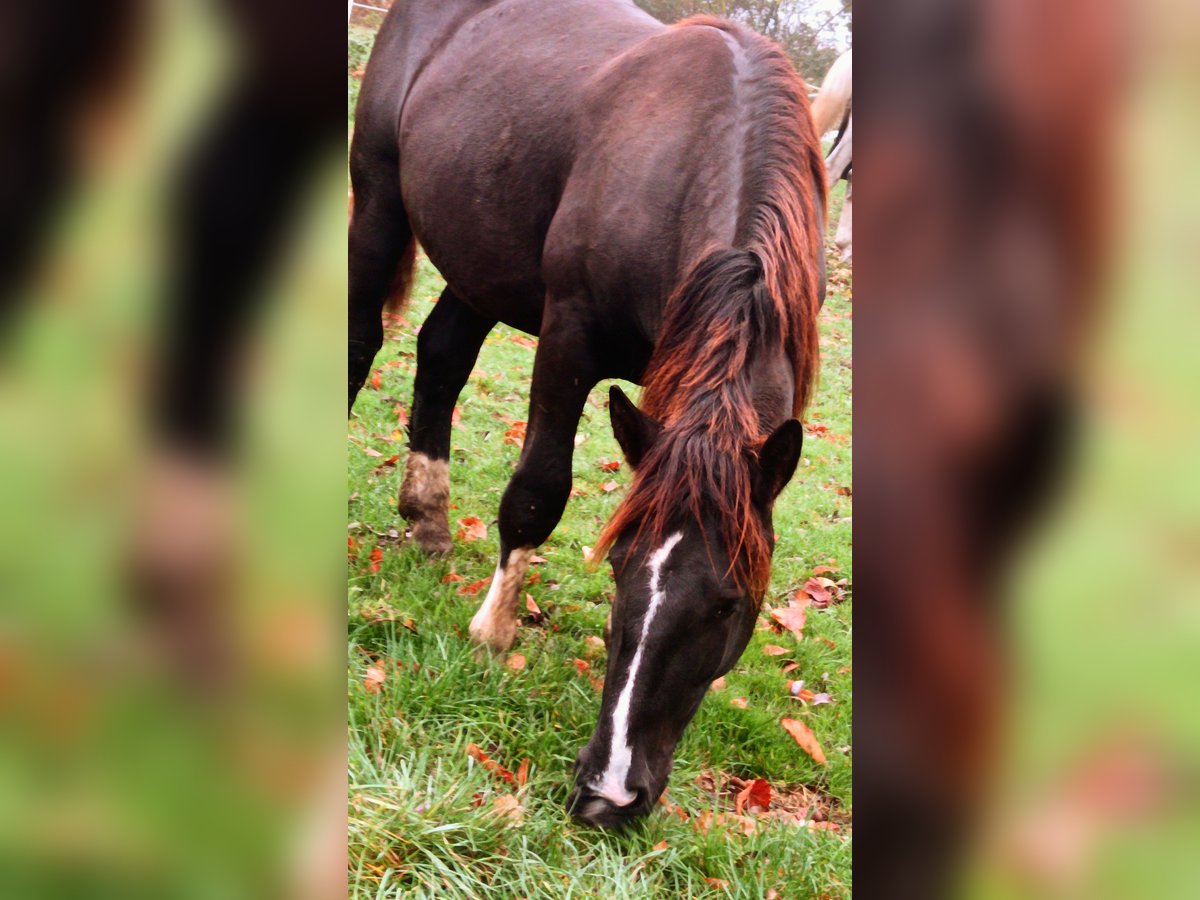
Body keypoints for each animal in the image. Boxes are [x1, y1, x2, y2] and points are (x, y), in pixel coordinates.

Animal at [348, 0, 825, 830]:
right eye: (621, 567)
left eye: (729, 602)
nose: (608, 796)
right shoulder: (567, 338)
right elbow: (538, 491)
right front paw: (494, 631)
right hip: (378, 200)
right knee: (360, 341)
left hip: (482, 265)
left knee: (442, 356)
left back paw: (428, 513)